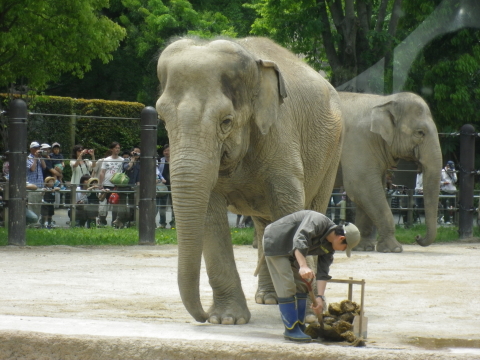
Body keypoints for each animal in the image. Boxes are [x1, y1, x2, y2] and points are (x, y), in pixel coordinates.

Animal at [158, 38, 344, 324]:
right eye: (162, 119)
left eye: (226, 121)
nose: (202, 315)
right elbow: (210, 214)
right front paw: (226, 320)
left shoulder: (281, 135)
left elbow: (290, 208)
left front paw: (310, 317)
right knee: (267, 225)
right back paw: (270, 299)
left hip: (332, 152)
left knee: (314, 208)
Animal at [336, 91, 440, 252]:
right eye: (420, 132)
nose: (417, 237)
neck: (384, 101)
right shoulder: (357, 142)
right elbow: (360, 185)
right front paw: (394, 249)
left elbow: (371, 188)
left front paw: (364, 247)